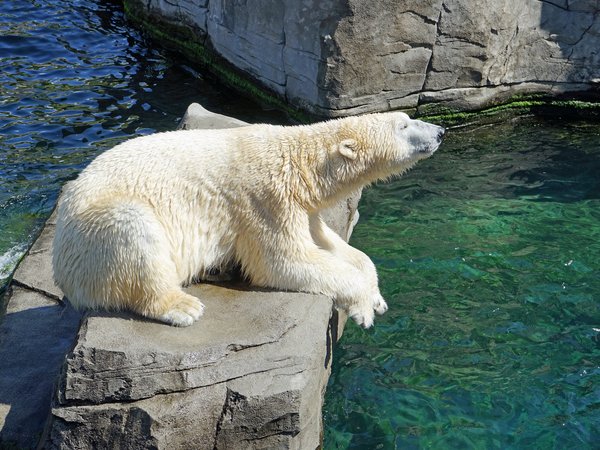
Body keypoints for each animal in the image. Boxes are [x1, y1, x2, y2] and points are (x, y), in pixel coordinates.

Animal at [54, 112, 442, 328]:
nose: (439, 132)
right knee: (134, 230)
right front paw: (363, 308)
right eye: (404, 124)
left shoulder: (300, 206)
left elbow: (334, 246)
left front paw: (376, 296)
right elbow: (282, 261)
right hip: (94, 233)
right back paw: (182, 306)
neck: (299, 162)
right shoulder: (265, 199)